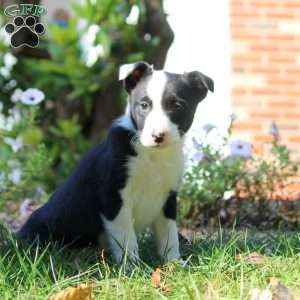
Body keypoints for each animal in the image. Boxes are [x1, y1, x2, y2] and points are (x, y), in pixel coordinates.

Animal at [17, 62, 213, 264]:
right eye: (144, 105)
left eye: (177, 105)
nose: (158, 136)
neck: (152, 155)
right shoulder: (114, 197)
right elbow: (126, 238)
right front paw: (133, 266)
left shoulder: (168, 197)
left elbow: (169, 235)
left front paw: (174, 262)